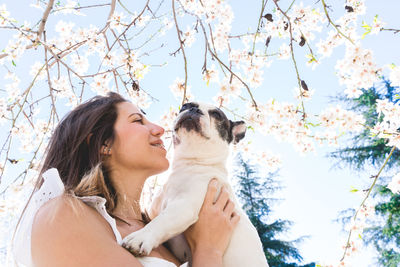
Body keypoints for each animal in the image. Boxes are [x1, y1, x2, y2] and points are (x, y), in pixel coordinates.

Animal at [122, 101, 268, 266]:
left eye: (216, 115)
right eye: (185, 106)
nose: (194, 109)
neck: (191, 162)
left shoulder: (183, 206)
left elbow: (162, 220)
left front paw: (140, 237)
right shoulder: (152, 210)